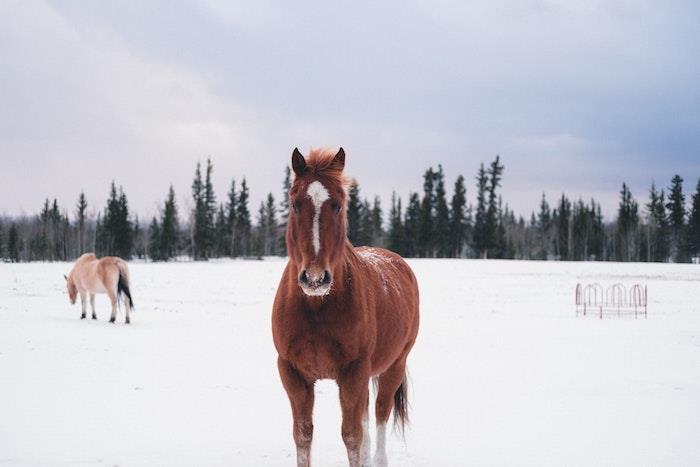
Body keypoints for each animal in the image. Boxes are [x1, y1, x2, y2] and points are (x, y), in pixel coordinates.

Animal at [272, 149, 416, 467]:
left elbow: (351, 436)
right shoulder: (293, 373)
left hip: (393, 366)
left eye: (338, 205)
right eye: (294, 203)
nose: (315, 278)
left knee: (379, 414)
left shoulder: (353, 373)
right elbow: (303, 435)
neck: (316, 308)